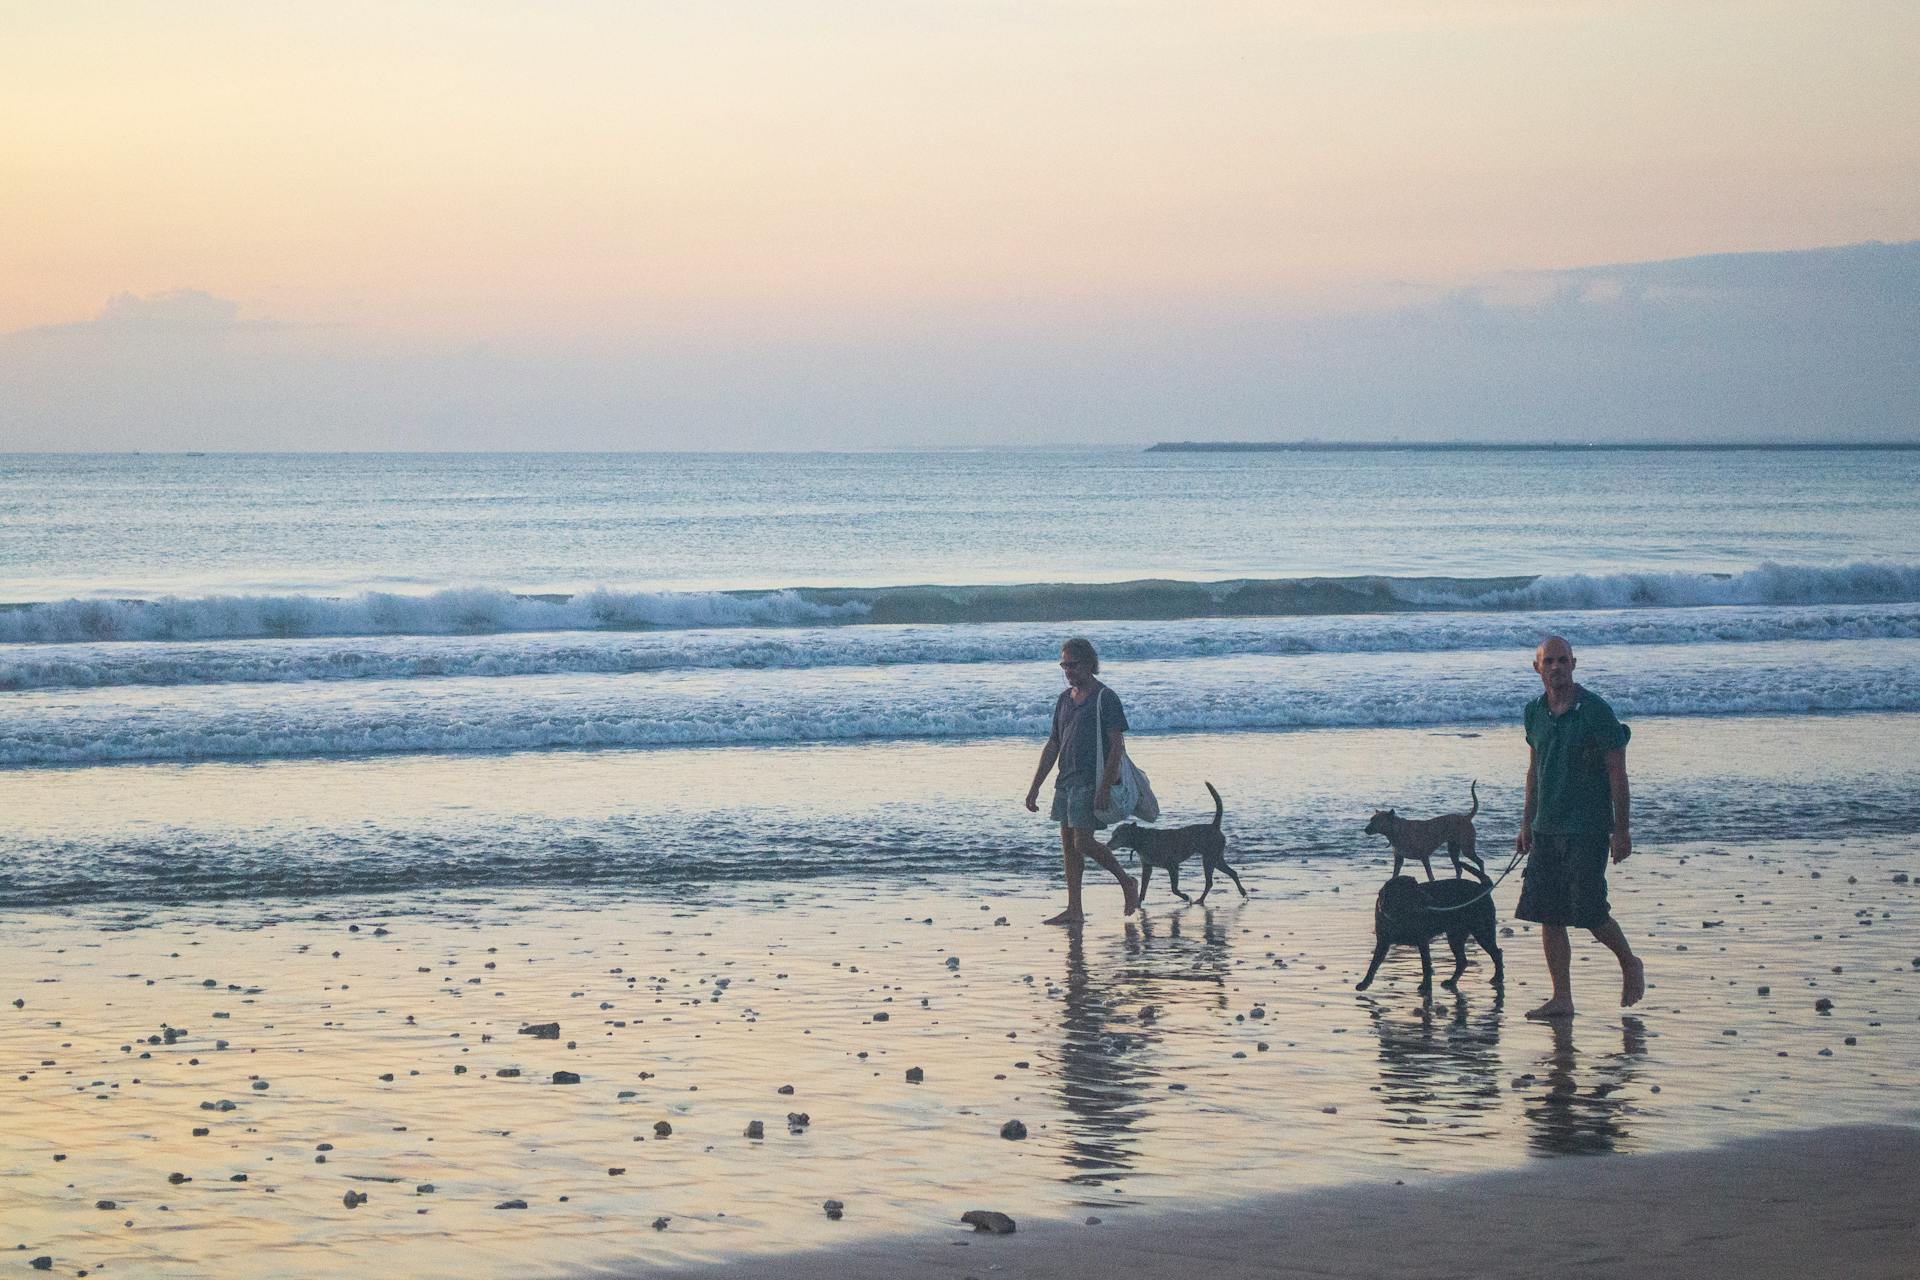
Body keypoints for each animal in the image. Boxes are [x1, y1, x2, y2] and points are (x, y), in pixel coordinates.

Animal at [1105, 786, 1251, 905]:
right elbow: (1143, 888)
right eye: (1113, 834)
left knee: (1210, 882)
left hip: (1209, 859)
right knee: (1232, 873)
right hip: (1216, 859)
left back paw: (1200, 900)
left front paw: (1186, 897)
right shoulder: (1147, 867)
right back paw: (1241, 892)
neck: (1142, 839)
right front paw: (1138, 903)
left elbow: (1174, 888)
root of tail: (1214, 826)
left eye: (1117, 835)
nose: (1107, 845)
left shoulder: (1172, 866)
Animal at [1359, 875, 1505, 997]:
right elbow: (1373, 964)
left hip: (1482, 930)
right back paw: (1452, 981)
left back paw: (1498, 977)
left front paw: (1426, 987)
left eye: (1417, 886)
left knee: (1496, 953)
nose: (1430, 899)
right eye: (1410, 890)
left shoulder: (1422, 940)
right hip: (1455, 935)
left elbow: (1426, 966)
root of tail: (1483, 888)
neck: (1399, 916)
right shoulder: (1382, 942)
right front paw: (1364, 983)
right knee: (1462, 961)